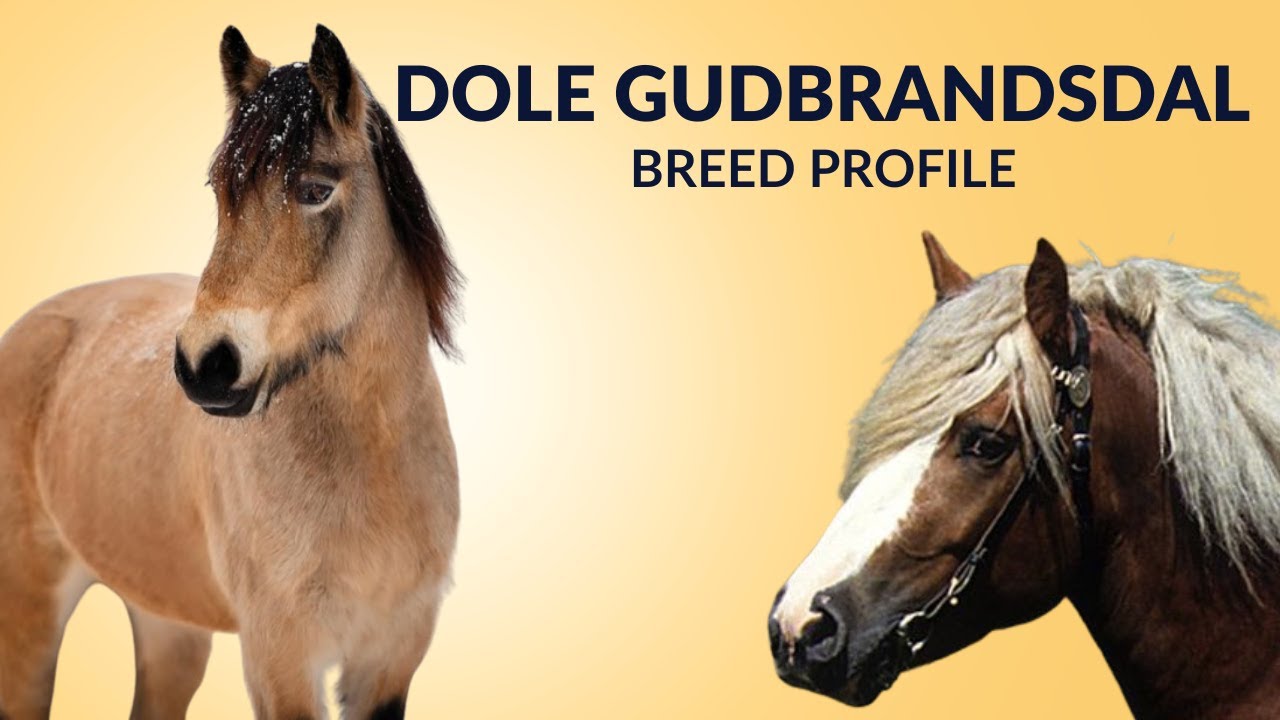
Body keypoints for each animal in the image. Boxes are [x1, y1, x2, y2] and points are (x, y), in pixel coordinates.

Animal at [0, 25, 461, 720]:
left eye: (315, 189)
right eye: (221, 191)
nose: (204, 366)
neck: (373, 469)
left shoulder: (390, 656)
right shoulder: (280, 660)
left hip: (167, 623)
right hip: (27, 612)